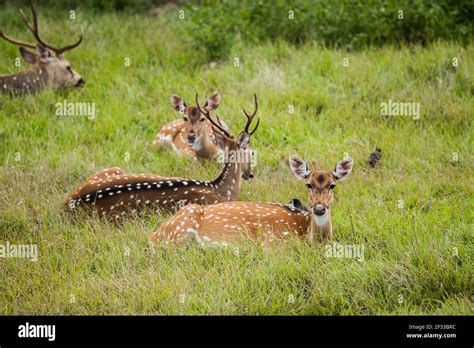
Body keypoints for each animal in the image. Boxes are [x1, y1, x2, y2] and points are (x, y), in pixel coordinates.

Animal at [150, 156, 354, 246]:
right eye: (308, 184)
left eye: (332, 185)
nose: (319, 208)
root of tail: (154, 236)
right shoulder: (272, 243)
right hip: (182, 228)